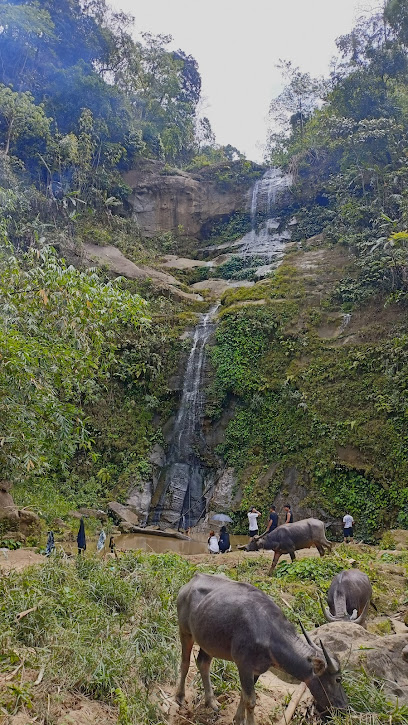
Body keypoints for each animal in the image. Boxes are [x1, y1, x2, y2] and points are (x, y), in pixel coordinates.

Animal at [176, 572, 348, 724]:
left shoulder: (257, 670)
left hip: (208, 642)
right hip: (185, 632)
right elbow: (251, 700)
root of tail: (190, 583)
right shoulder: (244, 665)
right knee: (185, 663)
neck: (268, 633)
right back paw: (180, 697)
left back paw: (211, 702)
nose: (344, 707)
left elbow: (244, 695)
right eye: (338, 679)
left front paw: (238, 719)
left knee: (203, 663)